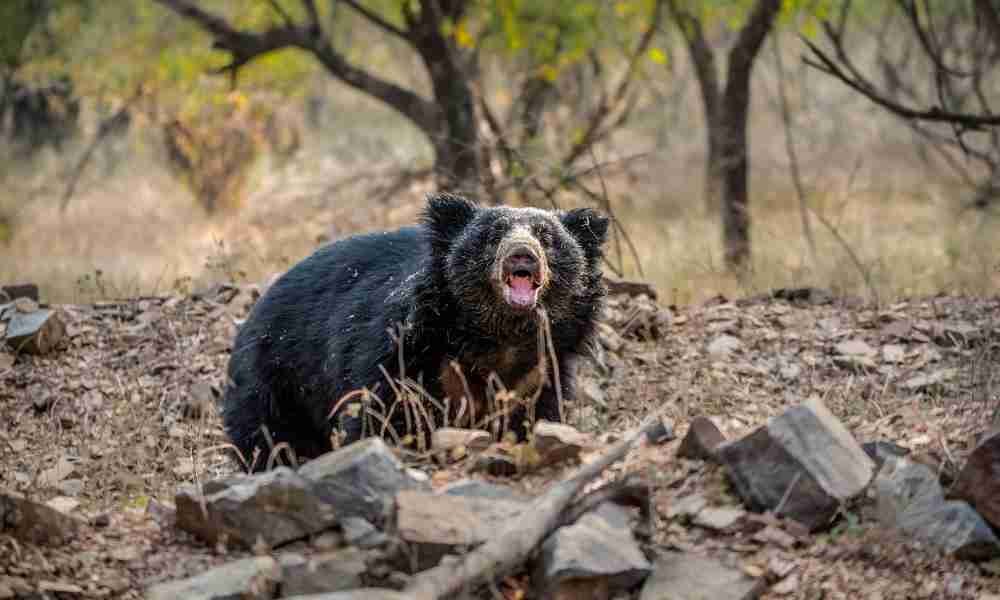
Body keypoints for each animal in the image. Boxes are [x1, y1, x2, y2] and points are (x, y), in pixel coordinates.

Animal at [221, 192, 608, 468]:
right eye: (492, 235)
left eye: (547, 238)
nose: (522, 255)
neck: (500, 337)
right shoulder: (406, 351)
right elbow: (383, 412)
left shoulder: (540, 370)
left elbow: (538, 417)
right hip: (277, 376)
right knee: (270, 435)